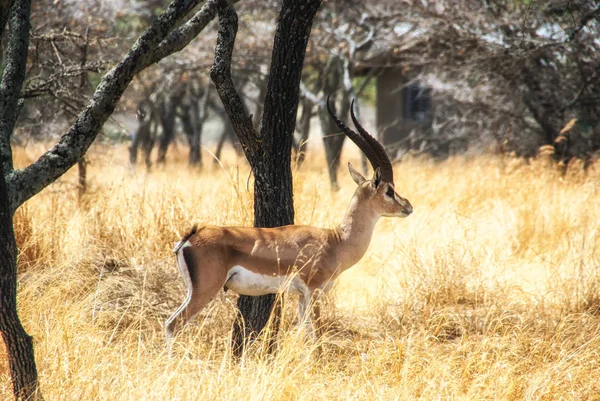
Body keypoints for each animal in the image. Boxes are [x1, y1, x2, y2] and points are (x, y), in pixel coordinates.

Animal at [166, 96, 414, 340]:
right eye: (389, 190)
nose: (408, 207)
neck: (336, 241)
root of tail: (189, 238)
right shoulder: (314, 291)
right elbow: (319, 336)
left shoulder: (302, 296)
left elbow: (305, 334)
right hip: (206, 290)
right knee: (173, 324)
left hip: (194, 291)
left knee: (170, 323)